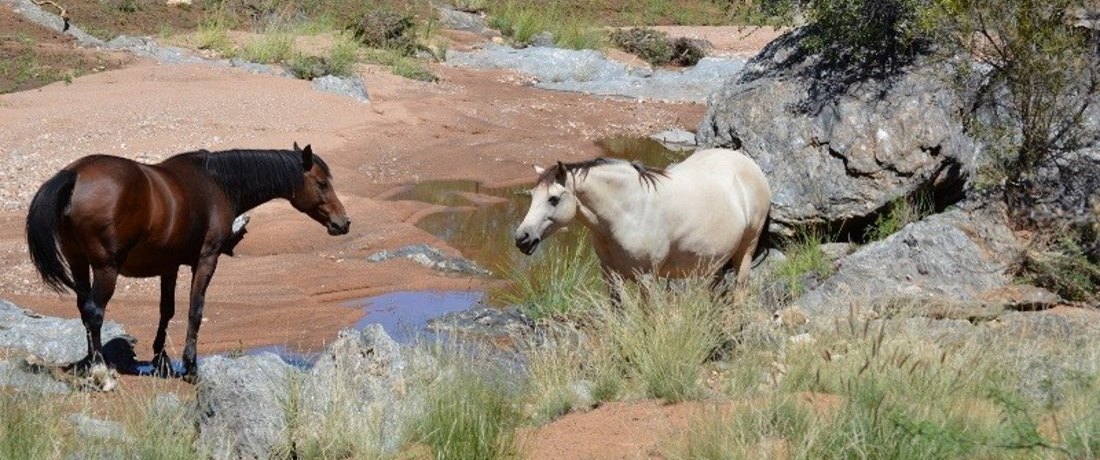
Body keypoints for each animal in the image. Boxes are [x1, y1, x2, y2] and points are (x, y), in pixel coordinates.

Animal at [25, 141, 349, 378]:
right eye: (322, 183)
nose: (343, 223)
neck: (217, 183)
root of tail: (76, 174)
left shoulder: (168, 266)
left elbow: (166, 311)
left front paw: (161, 358)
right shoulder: (205, 260)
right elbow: (195, 309)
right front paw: (191, 364)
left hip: (78, 263)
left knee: (83, 308)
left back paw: (90, 360)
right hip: (106, 270)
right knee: (94, 312)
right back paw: (99, 365)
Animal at [514, 147, 774, 299]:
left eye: (554, 199)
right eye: (532, 196)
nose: (521, 238)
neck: (628, 212)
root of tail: (749, 165)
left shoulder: (647, 279)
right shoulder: (610, 276)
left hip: (746, 250)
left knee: (739, 290)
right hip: (715, 261)